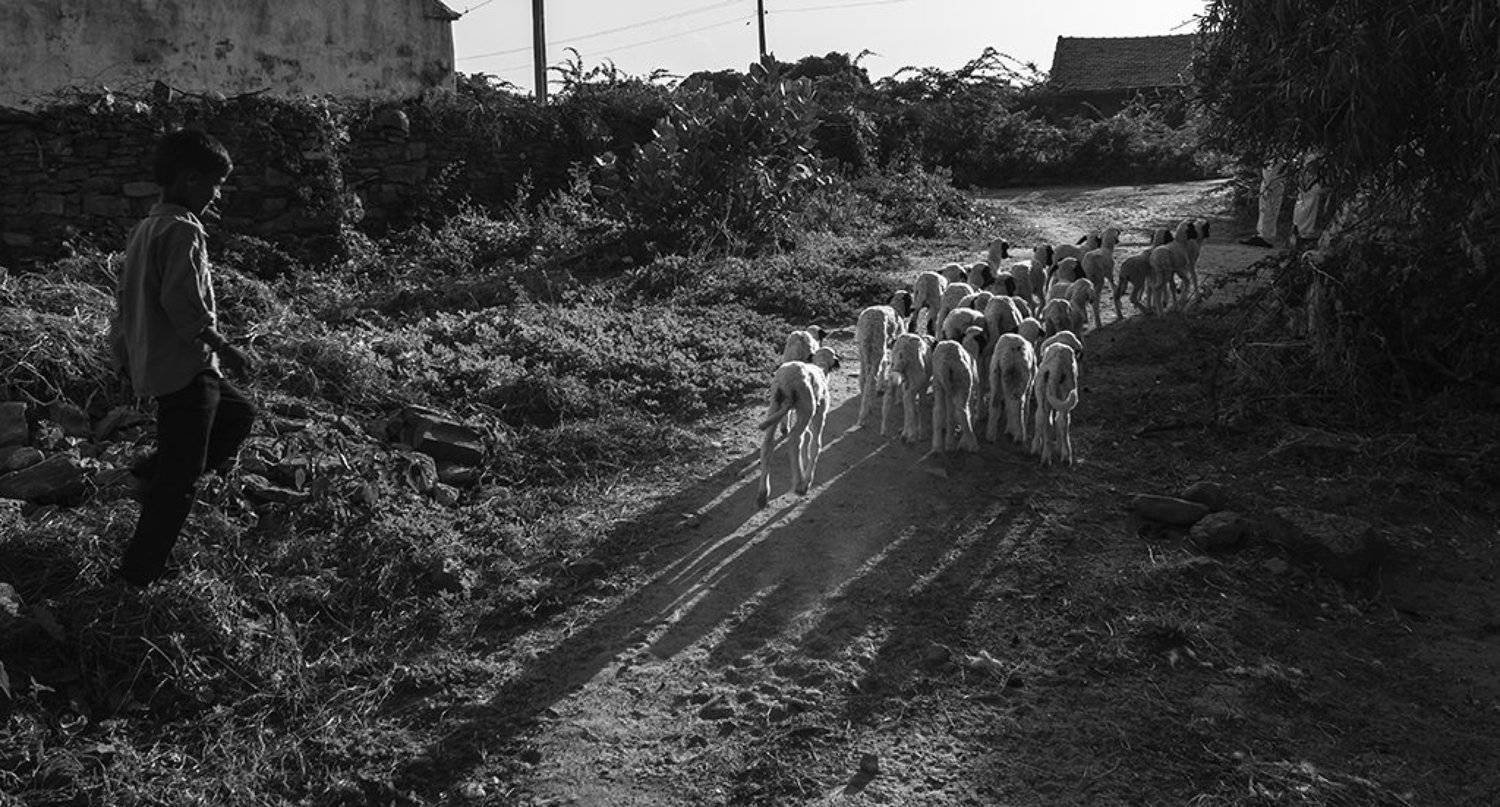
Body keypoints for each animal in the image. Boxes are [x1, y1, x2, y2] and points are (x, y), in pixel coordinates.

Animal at [756, 346, 841, 508]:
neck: (821, 366)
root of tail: (787, 383)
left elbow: (808, 437)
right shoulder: (820, 413)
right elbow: (815, 444)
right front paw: (808, 478)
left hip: (775, 405)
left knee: (768, 443)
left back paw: (763, 493)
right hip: (806, 406)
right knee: (795, 439)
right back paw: (800, 484)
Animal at [854, 291, 913, 428]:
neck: (896, 308)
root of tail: (869, 321)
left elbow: (885, 364)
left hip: (863, 349)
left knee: (863, 377)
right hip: (877, 348)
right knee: (872, 378)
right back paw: (866, 412)